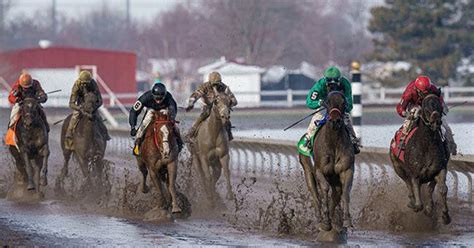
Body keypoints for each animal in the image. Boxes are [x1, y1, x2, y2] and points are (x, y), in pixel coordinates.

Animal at [310, 91, 354, 232]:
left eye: (343, 102)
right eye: (327, 102)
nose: (335, 121)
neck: (333, 143)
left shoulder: (347, 169)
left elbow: (345, 192)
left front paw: (347, 221)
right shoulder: (319, 170)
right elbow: (324, 188)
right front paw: (326, 221)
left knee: (336, 194)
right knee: (314, 193)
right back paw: (319, 219)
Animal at [390, 93, 450, 225]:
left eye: (439, 106)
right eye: (426, 107)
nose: (436, 121)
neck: (426, 144)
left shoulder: (439, 169)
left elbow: (442, 189)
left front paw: (445, 215)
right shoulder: (414, 174)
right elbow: (418, 202)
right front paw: (415, 205)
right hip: (398, 168)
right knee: (408, 184)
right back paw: (412, 201)